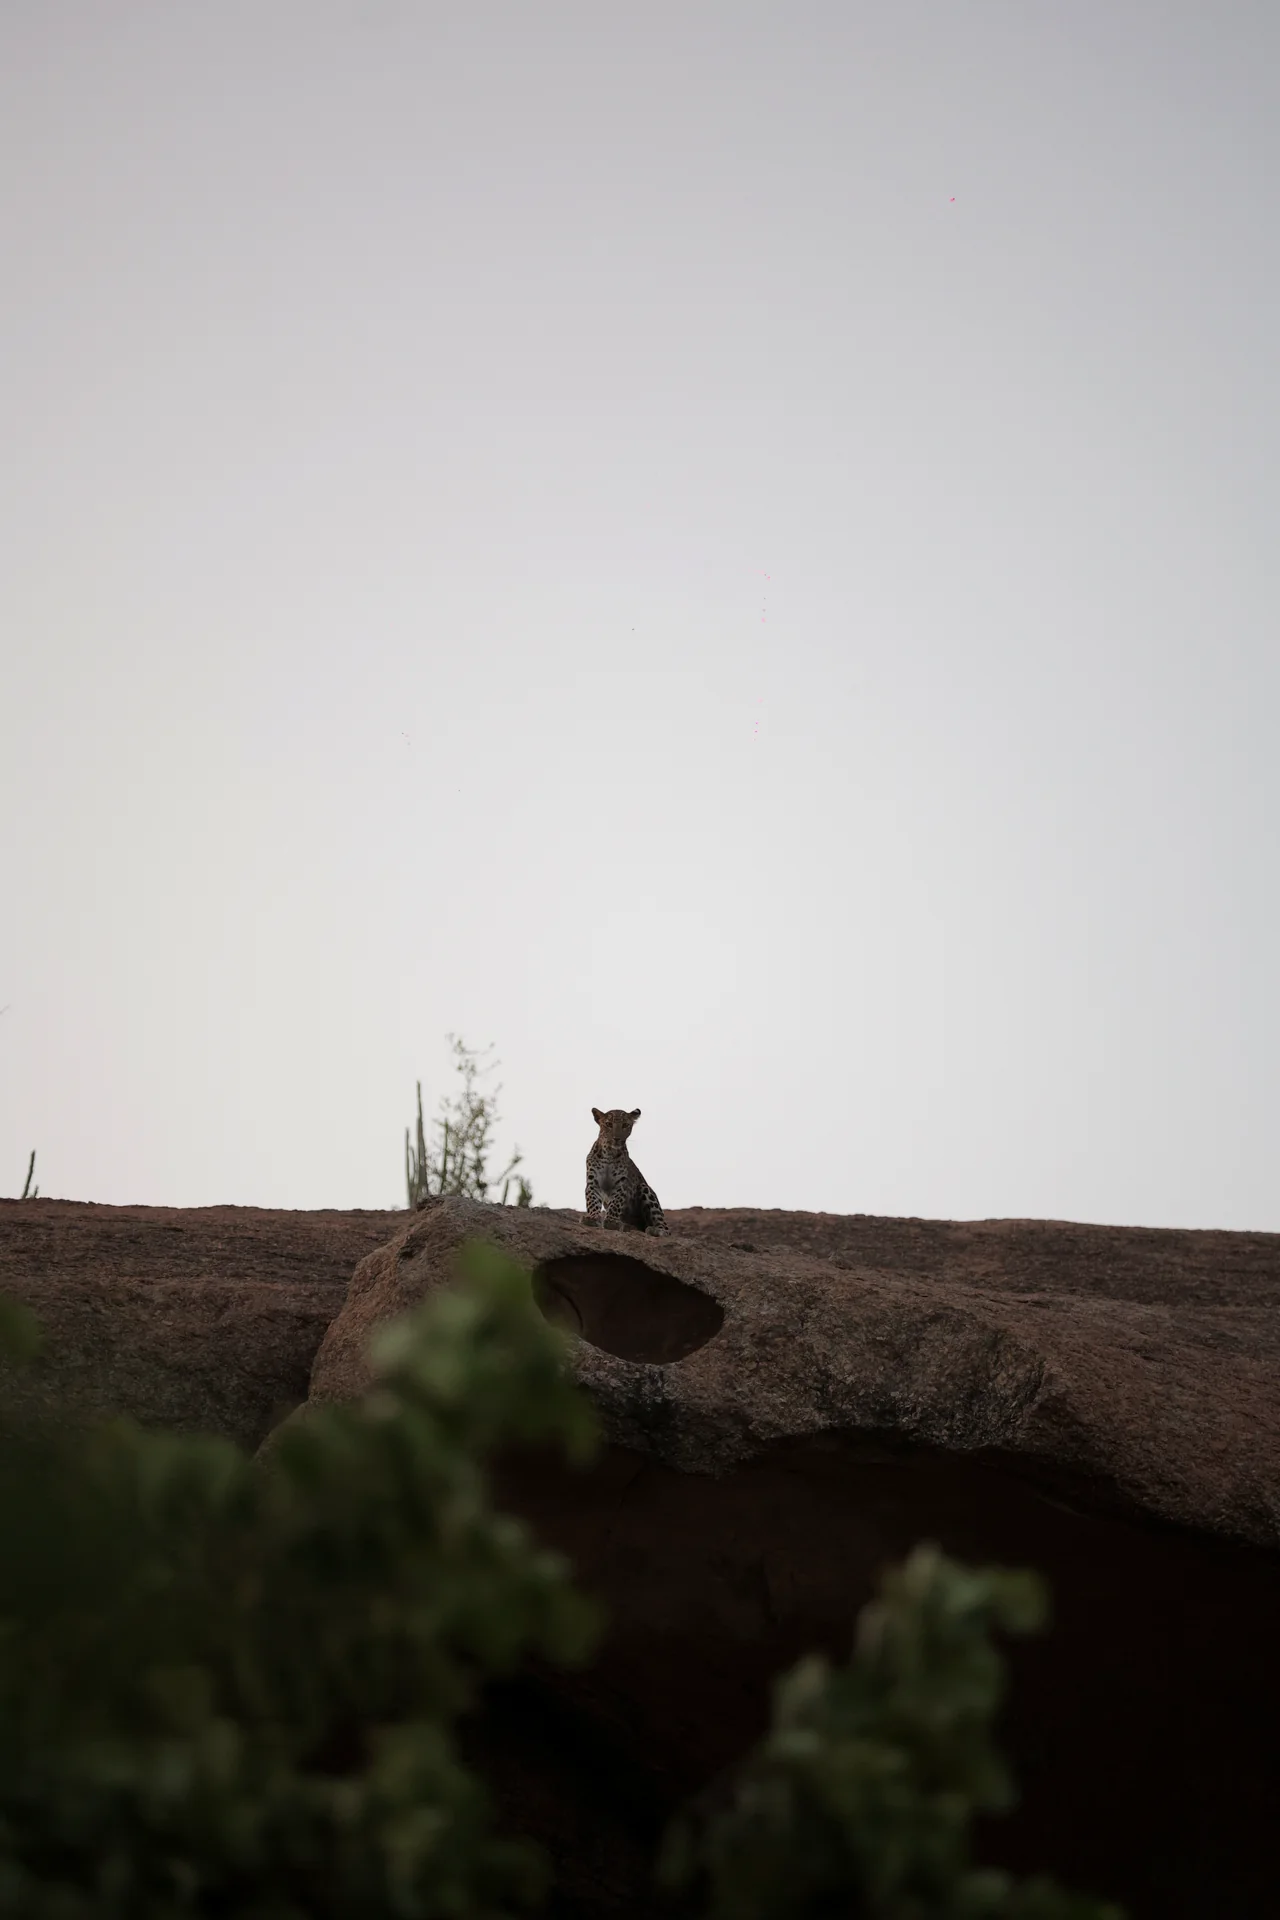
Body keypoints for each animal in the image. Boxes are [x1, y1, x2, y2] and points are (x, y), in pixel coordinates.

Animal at [583, 1107, 669, 1236]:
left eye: (625, 1125)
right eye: (608, 1124)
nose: (616, 1138)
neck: (609, 1153)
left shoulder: (621, 1184)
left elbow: (616, 1203)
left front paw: (611, 1221)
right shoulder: (593, 1181)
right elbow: (592, 1200)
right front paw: (592, 1218)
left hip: (644, 1187)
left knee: (665, 1227)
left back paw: (654, 1230)